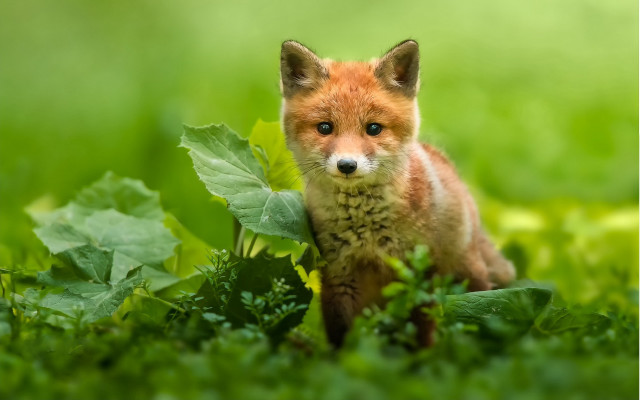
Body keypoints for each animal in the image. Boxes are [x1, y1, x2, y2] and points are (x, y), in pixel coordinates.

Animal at [279, 39, 515, 347]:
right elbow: (343, 336)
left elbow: (419, 331)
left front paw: (418, 358)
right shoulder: (338, 274)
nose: (347, 165)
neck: (365, 226)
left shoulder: (420, 272)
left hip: (467, 274)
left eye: (373, 128)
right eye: (325, 127)